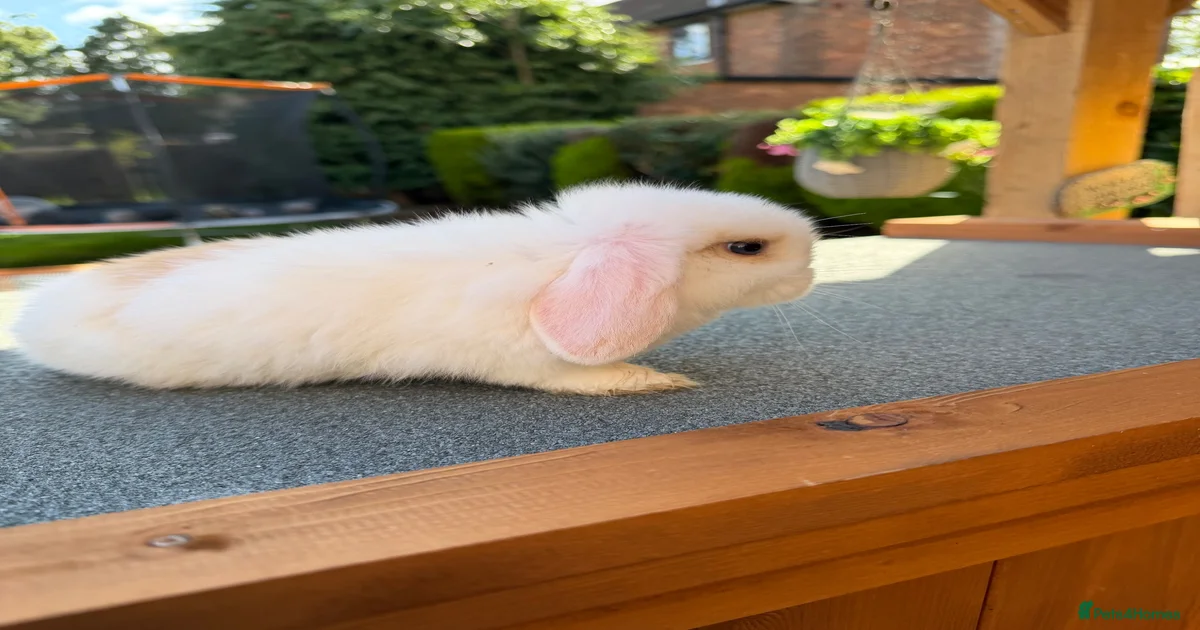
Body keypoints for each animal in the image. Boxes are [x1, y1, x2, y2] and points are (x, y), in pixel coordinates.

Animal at [11, 182, 817, 395]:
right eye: (745, 249)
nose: (813, 263)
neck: (555, 260)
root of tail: (37, 313)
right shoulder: (530, 363)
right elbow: (579, 379)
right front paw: (652, 380)